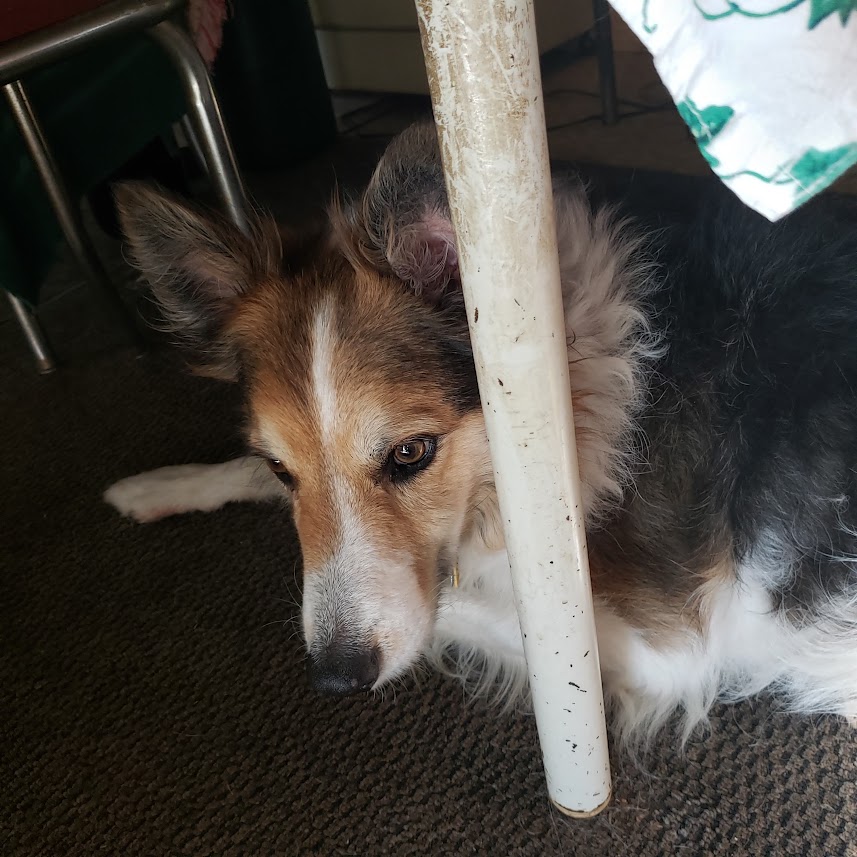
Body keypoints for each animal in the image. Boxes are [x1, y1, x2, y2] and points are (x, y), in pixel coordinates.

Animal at [105, 122, 857, 743]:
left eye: (411, 453)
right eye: (281, 469)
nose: (337, 677)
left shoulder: (664, 647)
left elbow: (445, 607)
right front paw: (158, 486)